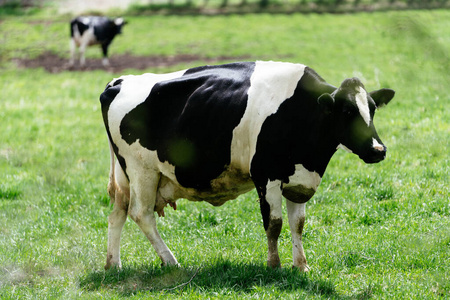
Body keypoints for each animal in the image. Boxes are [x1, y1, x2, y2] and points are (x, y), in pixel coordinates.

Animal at [99, 59, 394, 270]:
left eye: (372, 109)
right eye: (347, 111)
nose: (378, 150)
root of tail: (119, 82)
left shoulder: (299, 180)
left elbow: (297, 224)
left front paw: (302, 266)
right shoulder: (266, 176)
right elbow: (274, 223)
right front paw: (274, 265)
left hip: (125, 175)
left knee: (118, 213)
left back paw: (114, 264)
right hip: (142, 170)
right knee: (142, 214)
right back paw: (171, 261)